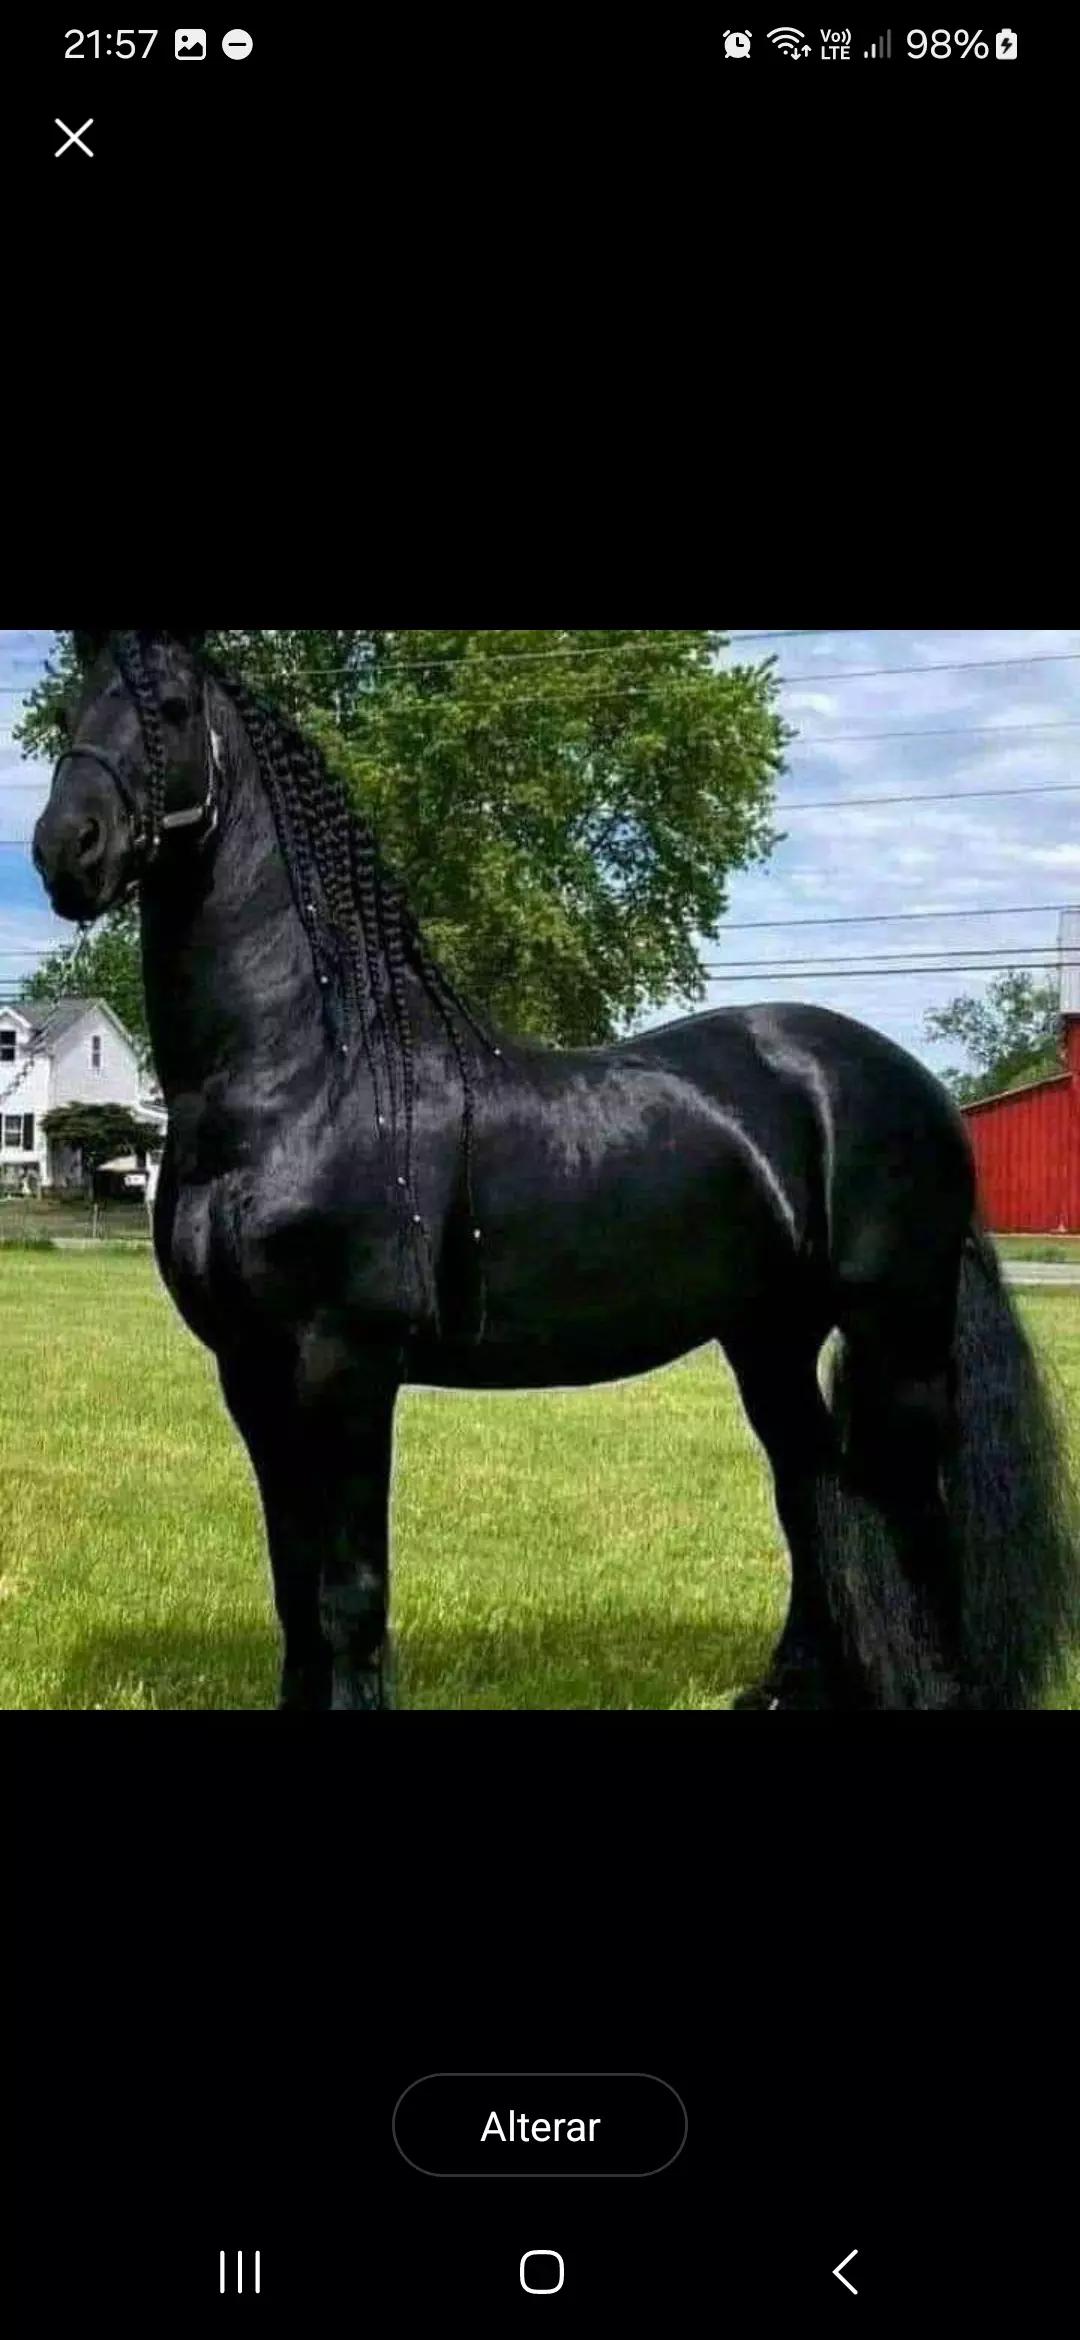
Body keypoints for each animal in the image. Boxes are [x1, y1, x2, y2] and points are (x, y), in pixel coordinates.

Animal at [32, 628, 1079, 1711]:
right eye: (73, 707)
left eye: (169, 708)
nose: (68, 850)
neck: (307, 1077)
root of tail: (911, 1083)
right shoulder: (250, 1370)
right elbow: (292, 1582)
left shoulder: (345, 1364)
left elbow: (349, 1587)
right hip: (770, 1338)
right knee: (812, 1486)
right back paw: (789, 1683)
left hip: (896, 1334)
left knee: (910, 1505)